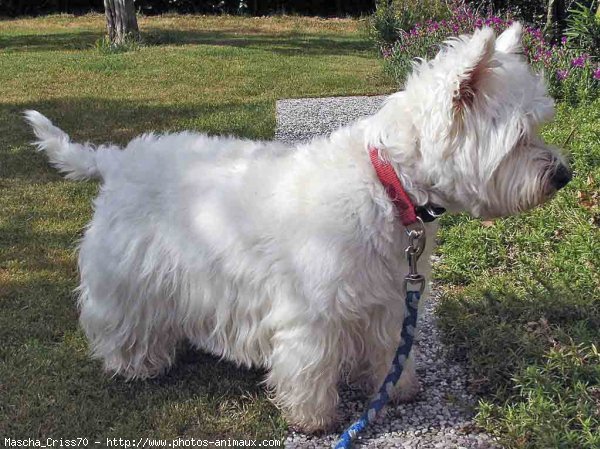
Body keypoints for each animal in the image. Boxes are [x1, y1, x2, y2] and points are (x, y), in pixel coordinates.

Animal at [27, 23, 572, 430]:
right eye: (521, 136)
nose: (563, 175)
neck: (387, 183)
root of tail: (114, 160)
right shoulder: (312, 311)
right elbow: (310, 365)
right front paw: (315, 419)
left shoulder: (388, 298)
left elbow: (388, 349)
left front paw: (397, 389)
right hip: (130, 276)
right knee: (120, 321)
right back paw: (136, 365)